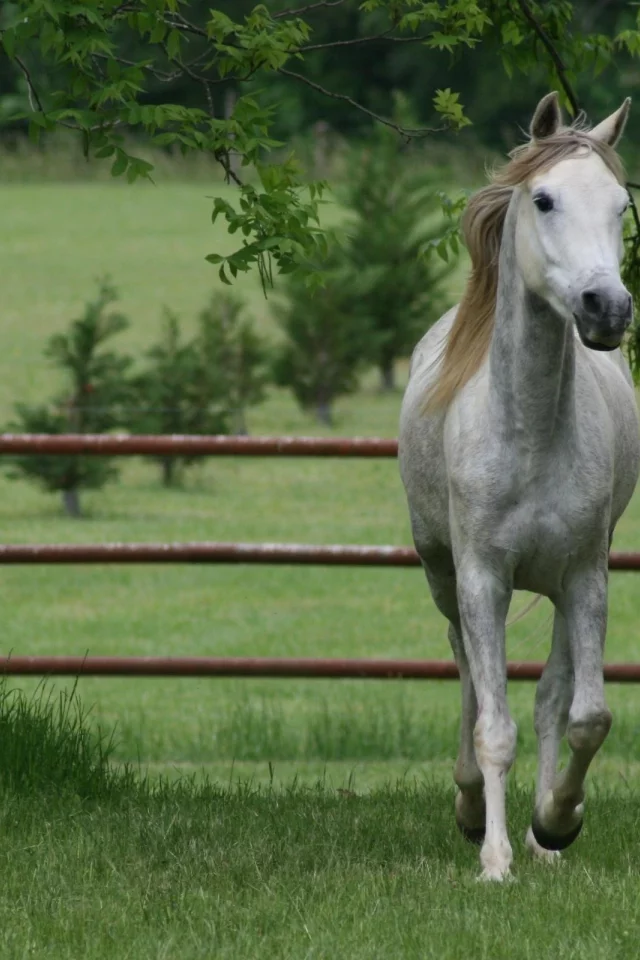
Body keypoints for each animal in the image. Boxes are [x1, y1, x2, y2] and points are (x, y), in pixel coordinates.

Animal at [400, 94, 640, 880]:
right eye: (544, 199)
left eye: (621, 206)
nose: (607, 308)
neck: (530, 433)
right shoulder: (483, 578)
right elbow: (493, 724)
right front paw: (495, 860)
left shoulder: (586, 577)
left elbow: (583, 715)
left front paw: (555, 824)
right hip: (444, 577)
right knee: (469, 678)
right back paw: (473, 809)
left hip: (565, 586)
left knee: (550, 698)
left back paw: (539, 840)